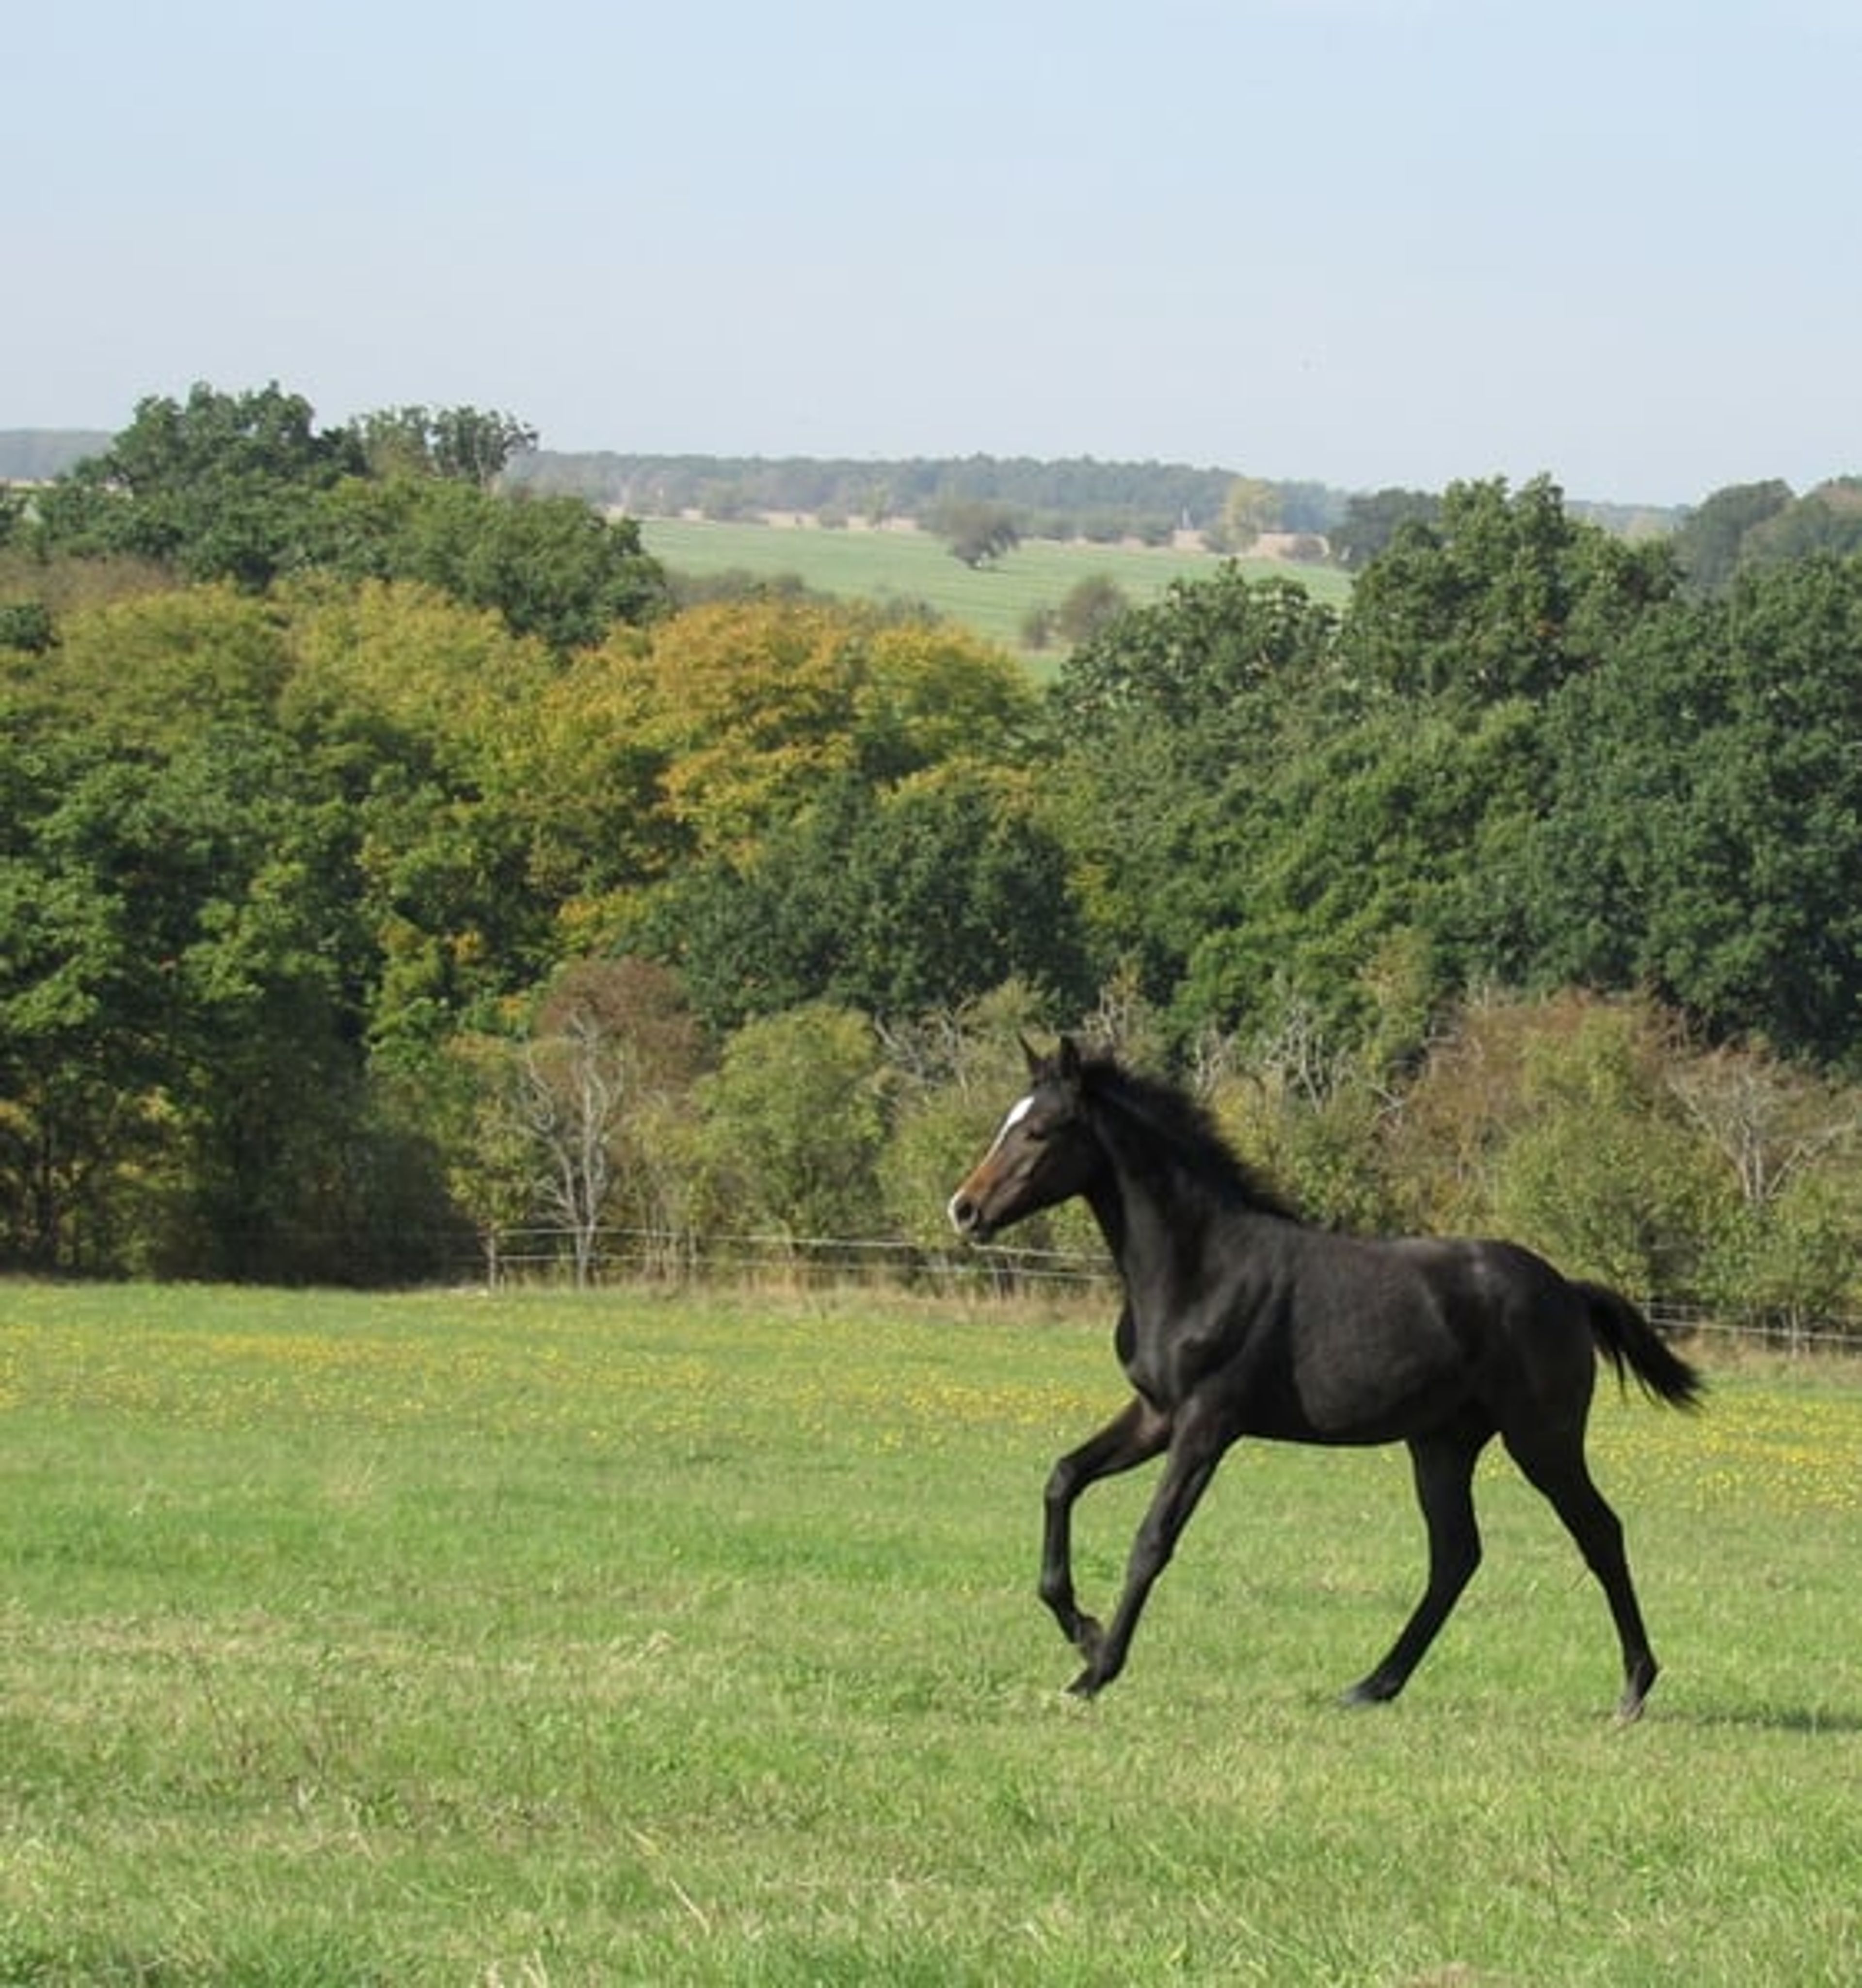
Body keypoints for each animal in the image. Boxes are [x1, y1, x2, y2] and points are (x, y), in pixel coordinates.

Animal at [947, 1036, 1704, 1719]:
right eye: (1009, 1121)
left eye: (1040, 1130)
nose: (964, 1209)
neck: (1201, 1266)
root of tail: (1568, 1292)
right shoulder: (1156, 1413)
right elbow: (1063, 1478)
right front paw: (1082, 1630)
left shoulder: (1207, 1423)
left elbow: (1152, 1540)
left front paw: (1096, 1670)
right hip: (1442, 1444)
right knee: (1456, 1555)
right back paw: (1373, 1685)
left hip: (1542, 1439)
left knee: (1598, 1532)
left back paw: (1634, 1688)